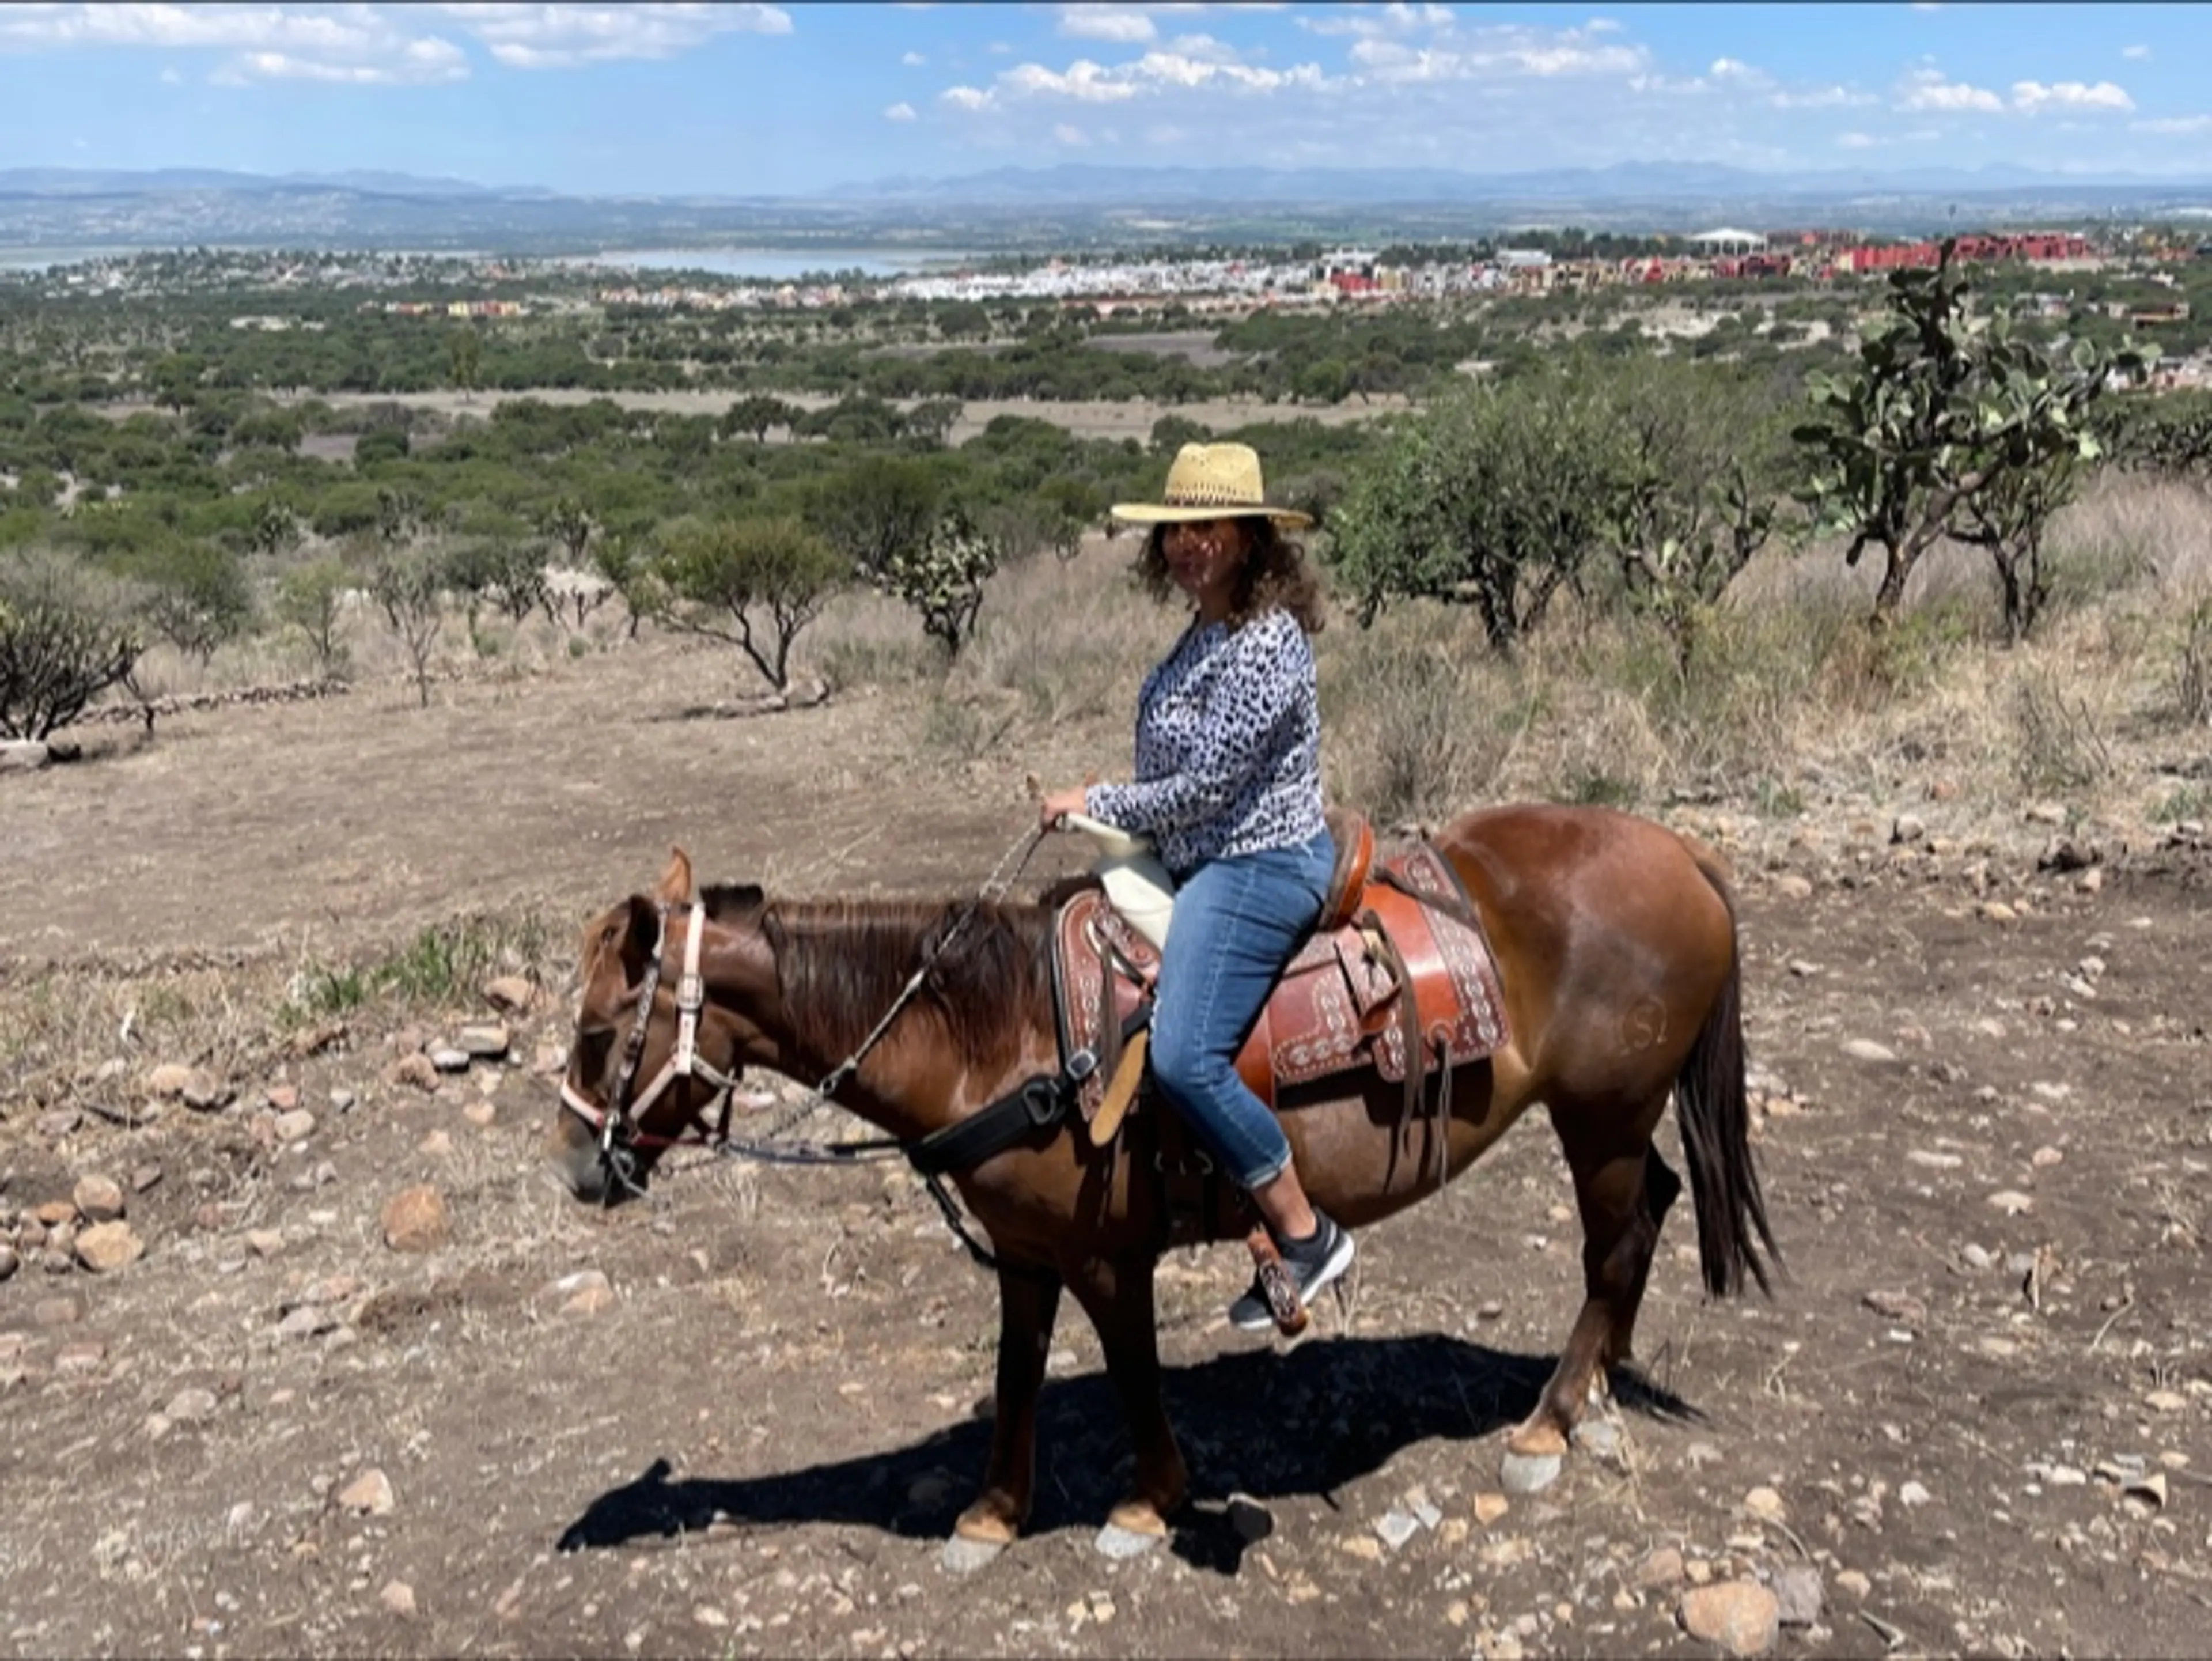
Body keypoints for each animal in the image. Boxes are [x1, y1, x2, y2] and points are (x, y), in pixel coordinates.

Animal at [548, 805, 1778, 1575]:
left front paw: (1147, 1503)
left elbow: (1134, 1373)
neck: (1007, 1029)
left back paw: (1548, 1423)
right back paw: (1601, 1382)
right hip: (1615, 1118)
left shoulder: (1106, 1255)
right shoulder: (1028, 1253)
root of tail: (1682, 853)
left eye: (602, 1030)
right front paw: (991, 1514)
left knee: (1613, 1242)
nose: (575, 1162)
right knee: (1652, 1211)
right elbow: (1017, 1372)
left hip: (1601, 1115)